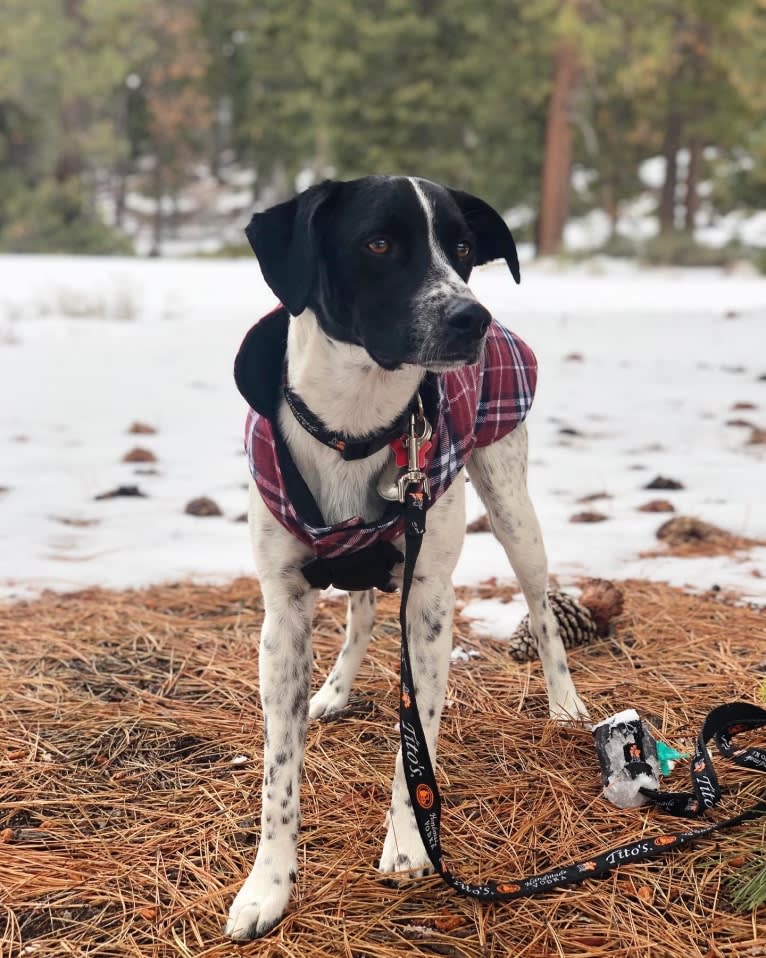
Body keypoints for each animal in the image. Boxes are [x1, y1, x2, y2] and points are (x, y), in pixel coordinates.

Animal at [225, 176, 592, 940]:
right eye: (378, 243)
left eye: (463, 249)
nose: (472, 317)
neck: (356, 426)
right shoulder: (282, 613)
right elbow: (279, 772)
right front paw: (268, 886)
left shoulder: (429, 603)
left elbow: (413, 739)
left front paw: (408, 841)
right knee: (362, 610)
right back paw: (335, 689)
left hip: (512, 509)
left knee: (543, 608)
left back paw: (565, 701)